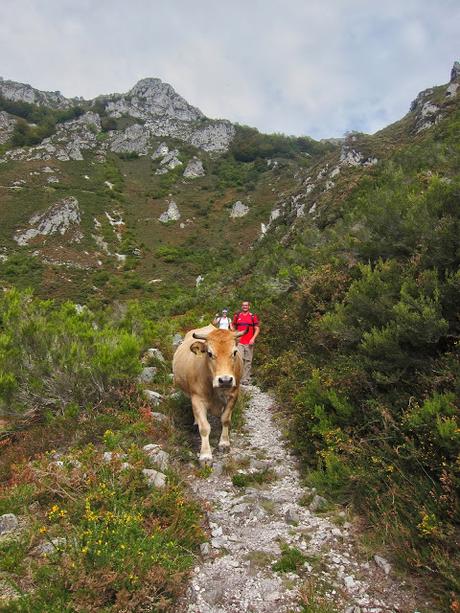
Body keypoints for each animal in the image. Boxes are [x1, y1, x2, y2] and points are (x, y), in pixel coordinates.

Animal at [172, 322, 246, 462]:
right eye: (210, 353)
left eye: (234, 352)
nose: (225, 380)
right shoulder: (197, 398)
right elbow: (205, 427)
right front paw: (205, 454)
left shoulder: (234, 395)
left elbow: (225, 419)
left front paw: (224, 443)